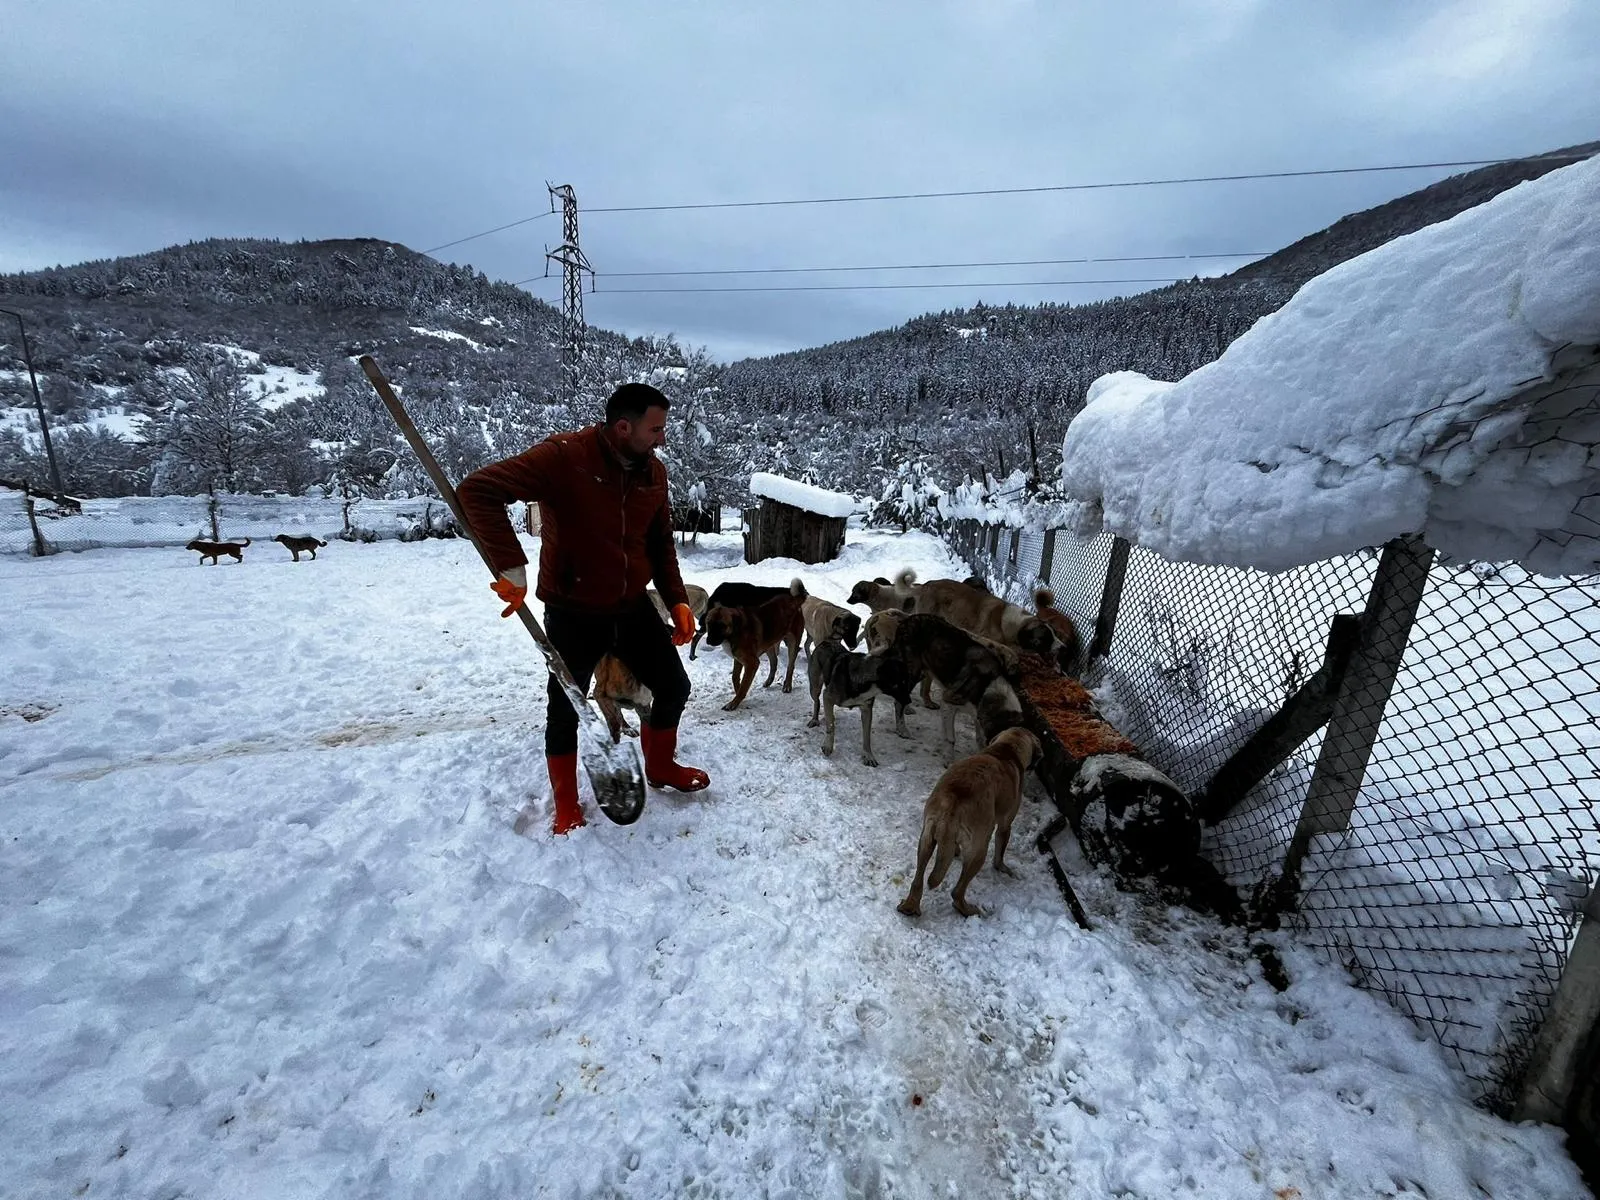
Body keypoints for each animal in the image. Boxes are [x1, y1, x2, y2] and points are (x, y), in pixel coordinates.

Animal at [700, 579, 806, 710]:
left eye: (722, 625)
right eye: (709, 623)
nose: (709, 640)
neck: (735, 631)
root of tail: (794, 599)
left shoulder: (752, 663)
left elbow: (743, 684)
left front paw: (734, 702)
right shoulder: (739, 659)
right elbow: (735, 677)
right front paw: (738, 693)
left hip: (792, 642)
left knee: (790, 665)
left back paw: (787, 685)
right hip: (769, 642)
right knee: (774, 662)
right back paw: (769, 681)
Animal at [896, 723, 1043, 921]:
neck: (1006, 750)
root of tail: (952, 804)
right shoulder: (1005, 825)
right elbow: (1000, 852)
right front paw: (1002, 868)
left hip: (925, 839)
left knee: (918, 879)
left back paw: (910, 905)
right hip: (978, 851)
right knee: (957, 892)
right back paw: (968, 910)